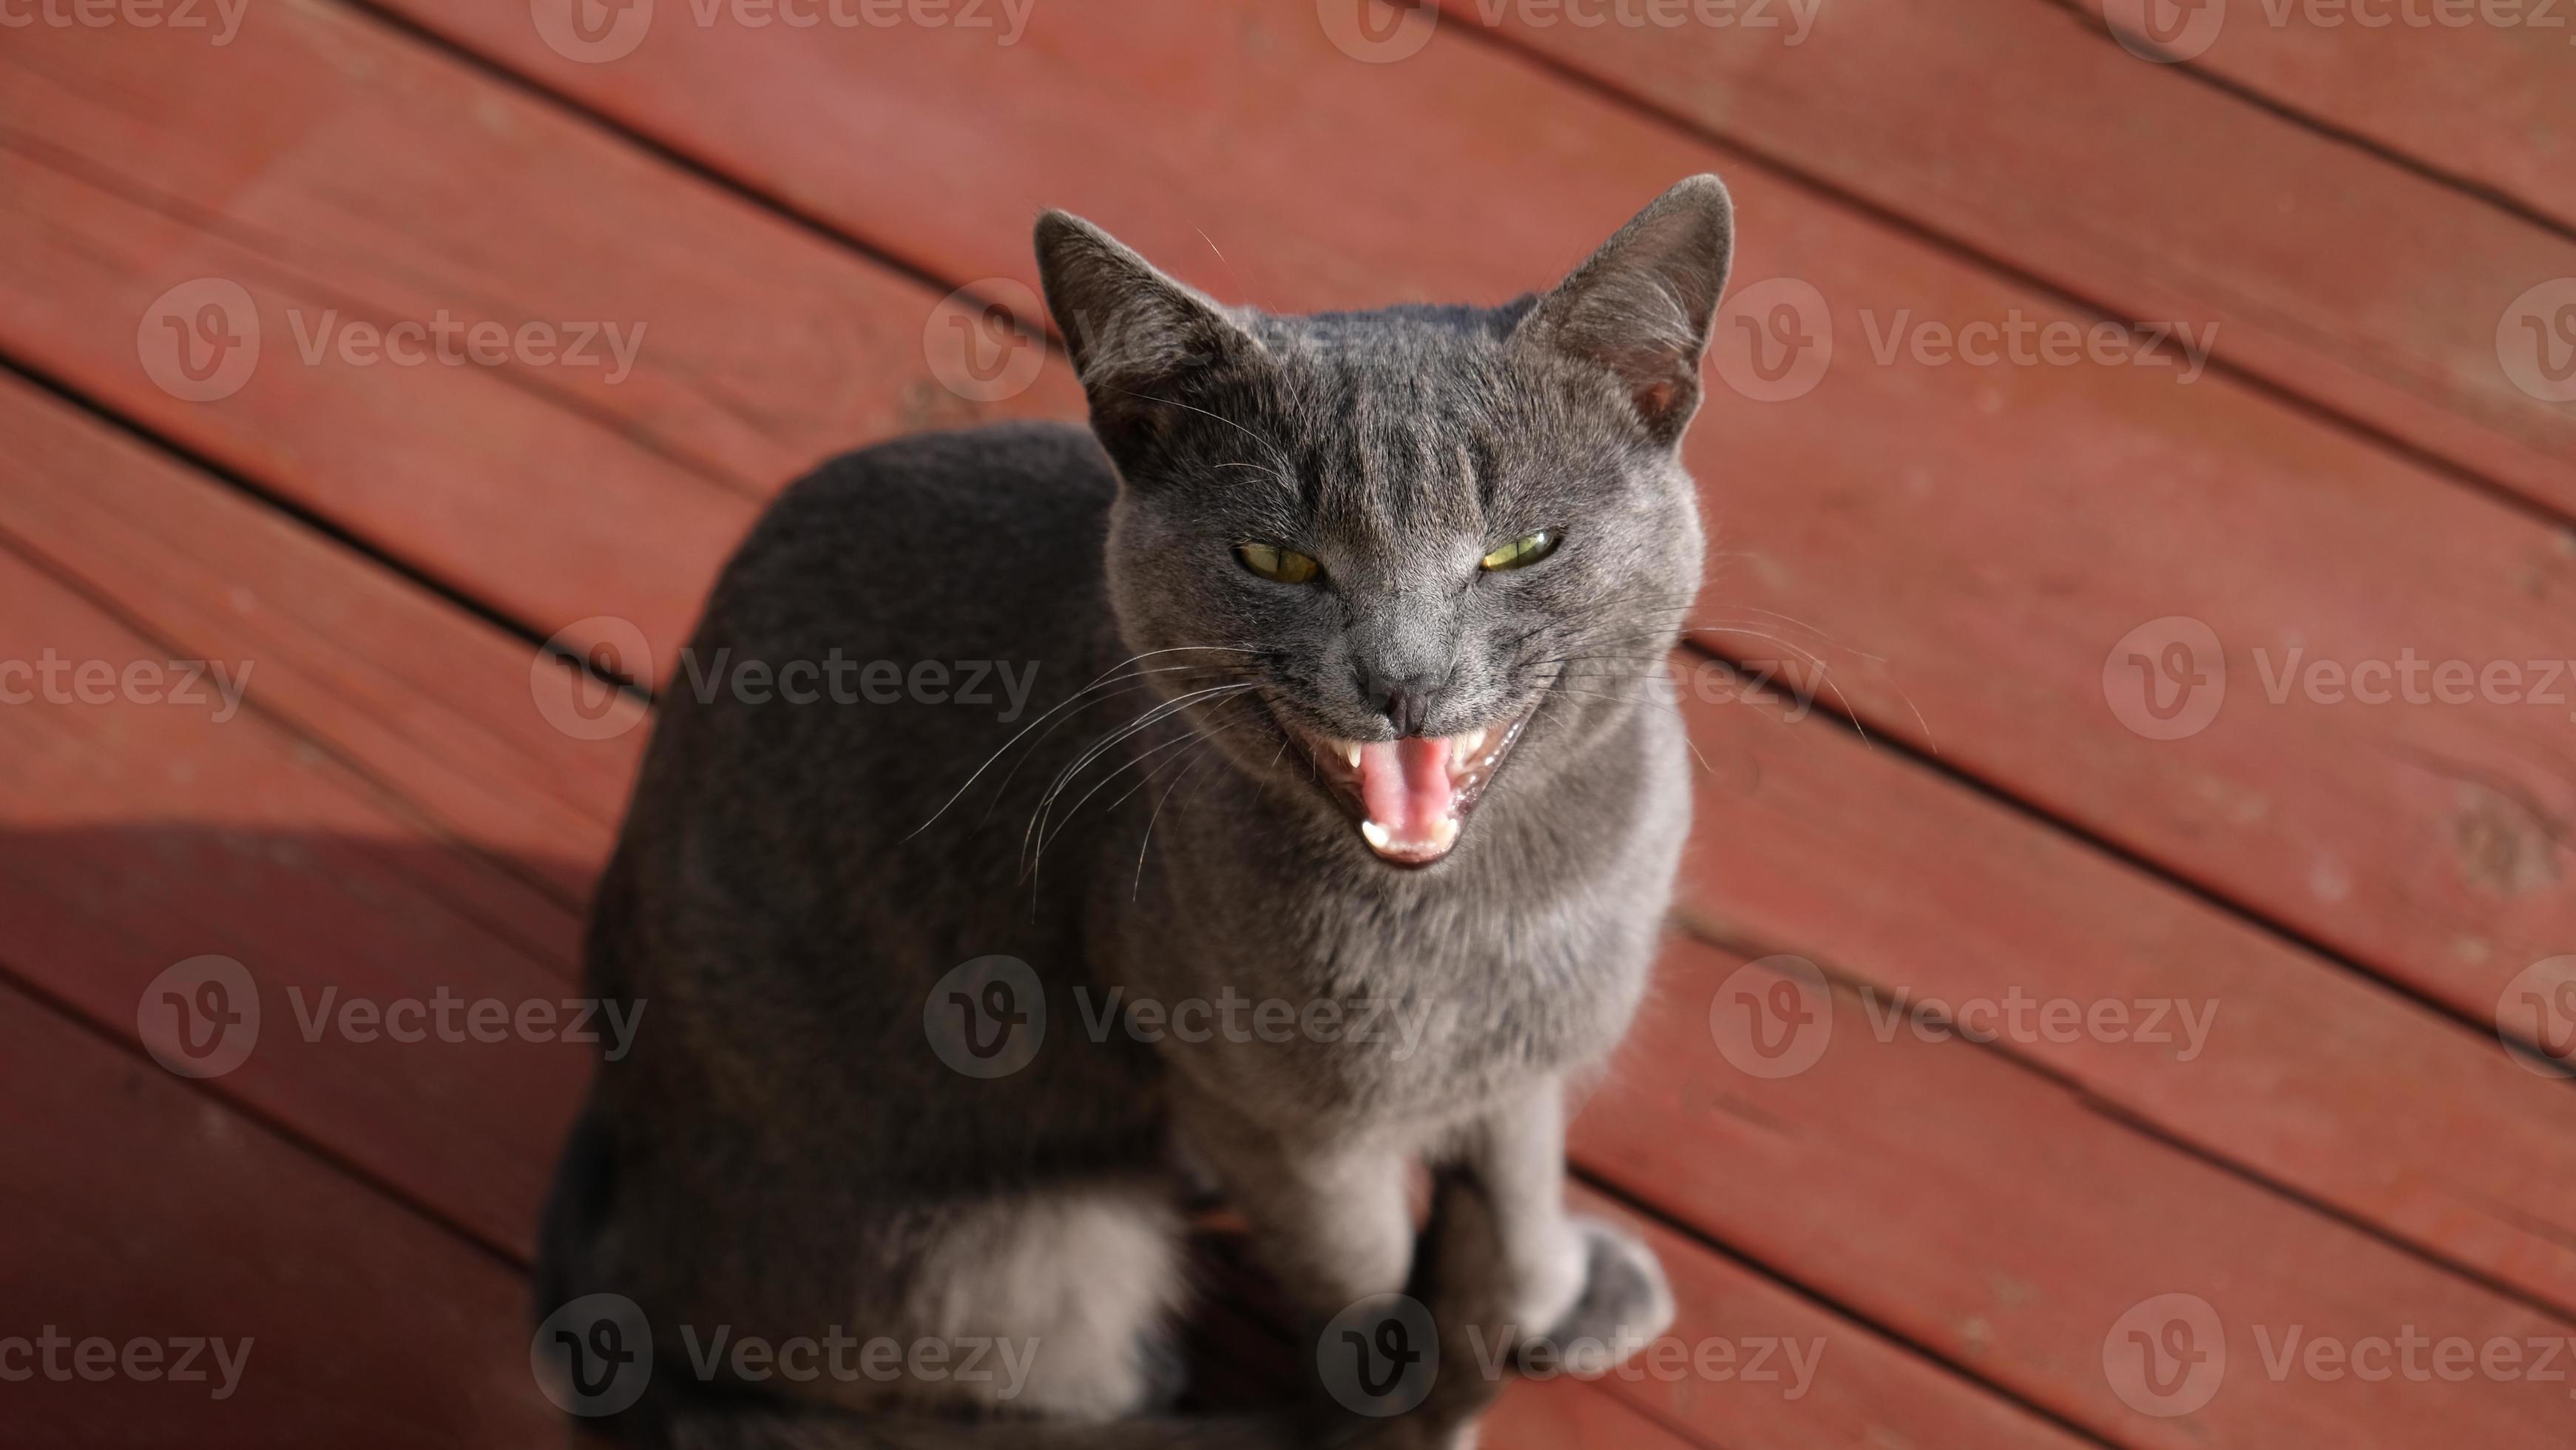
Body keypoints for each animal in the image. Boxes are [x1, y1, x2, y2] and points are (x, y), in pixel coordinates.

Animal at [535, 176, 1741, 1442]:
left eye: (1520, 549)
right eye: (1277, 560)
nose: (1401, 676)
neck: (1496, 912)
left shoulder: (1527, 1061)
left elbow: (1519, 1180)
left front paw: (1546, 1292)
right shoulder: (1281, 1126)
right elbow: (1358, 1267)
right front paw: (1395, 1393)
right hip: (1020, 1256)